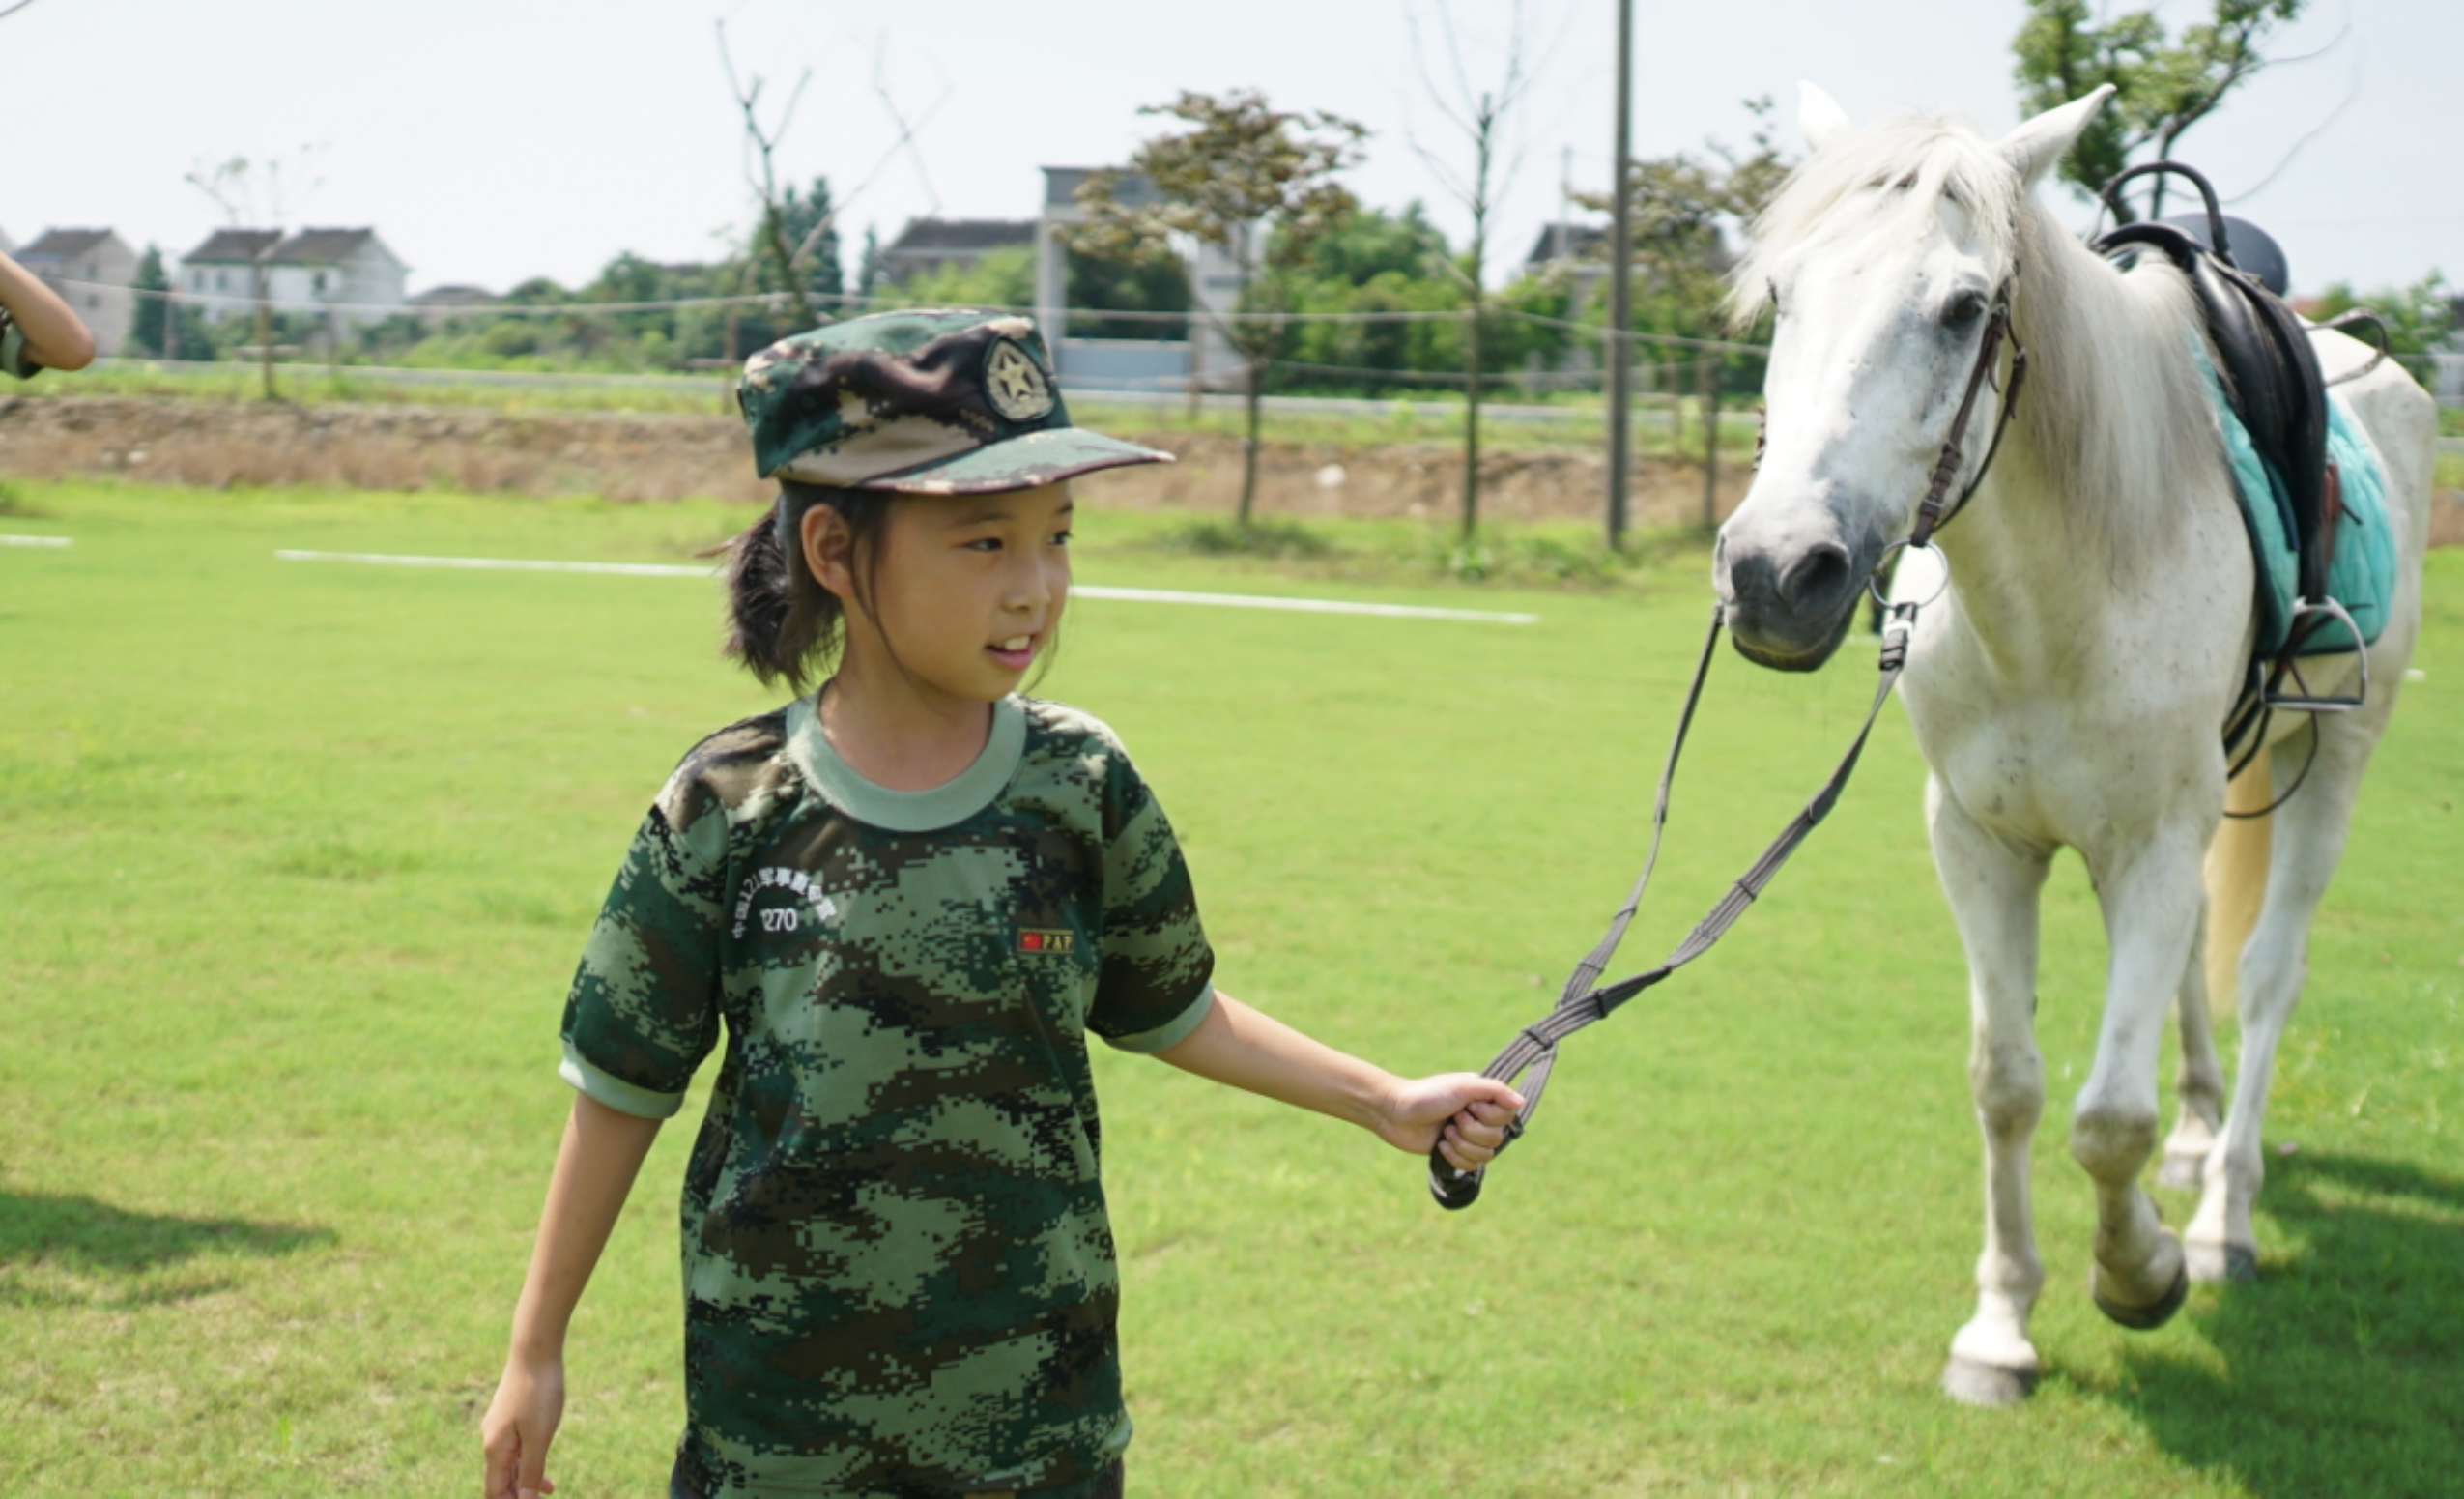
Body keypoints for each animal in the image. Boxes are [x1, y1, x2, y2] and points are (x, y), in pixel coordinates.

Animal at [1725, 85, 2434, 1399]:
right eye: (1784, 293)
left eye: (1963, 308)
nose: (1774, 572)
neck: (2048, 611)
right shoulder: (1978, 841)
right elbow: (2006, 1084)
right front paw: (2000, 1324)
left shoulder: (2149, 841)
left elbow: (2106, 1118)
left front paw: (2139, 1273)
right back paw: (2200, 1140)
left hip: (2335, 761)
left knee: (2268, 971)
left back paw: (2221, 1219)